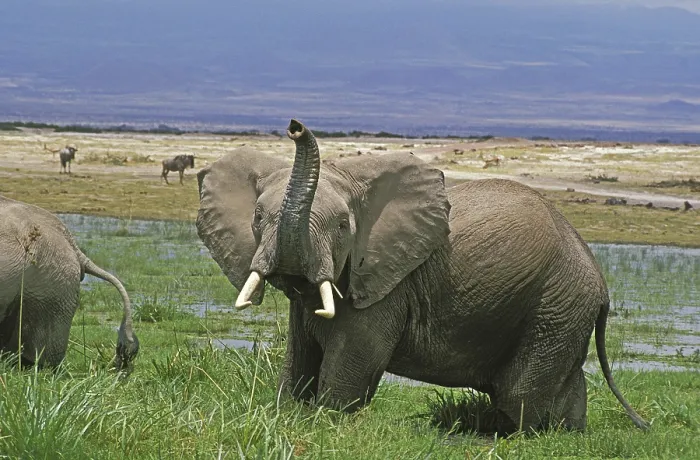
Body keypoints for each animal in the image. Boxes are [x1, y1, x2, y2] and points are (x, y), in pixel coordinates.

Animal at [196, 119, 648, 433]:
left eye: (343, 226)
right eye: (257, 217)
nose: (295, 126)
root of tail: (599, 280)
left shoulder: (386, 284)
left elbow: (353, 362)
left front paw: (327, 423)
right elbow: (299, 360)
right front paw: (288, 412)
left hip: (556, 304)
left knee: (520, 396)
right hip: (562, 308)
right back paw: (566, 433)